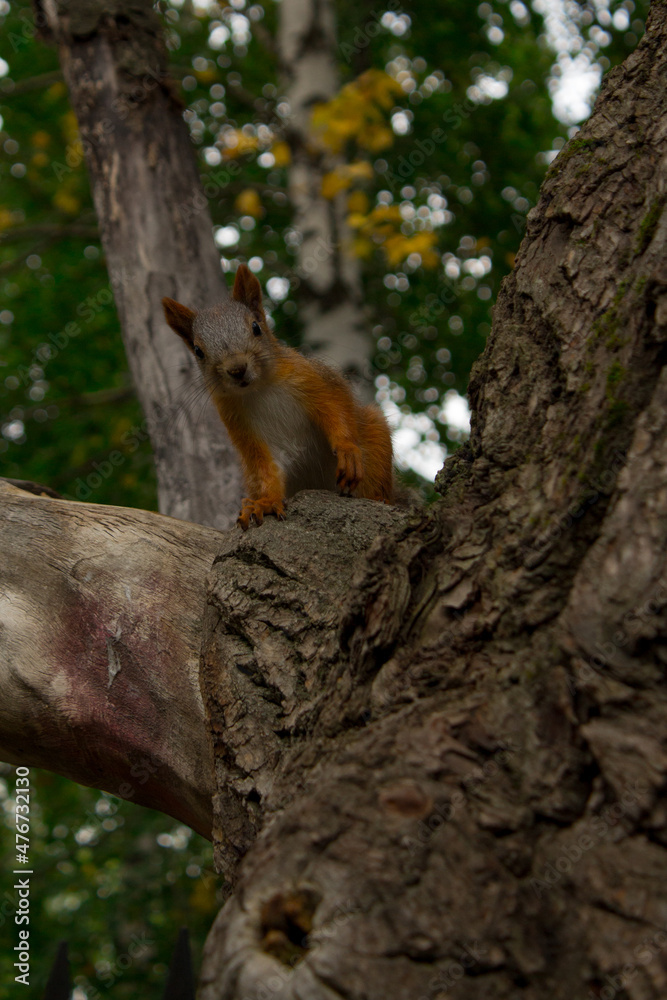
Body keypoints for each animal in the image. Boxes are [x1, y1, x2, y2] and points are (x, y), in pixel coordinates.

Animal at [162, 265, 394, 529]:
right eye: (198, 351)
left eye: (256, 327)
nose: (237, 369)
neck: (259, 388)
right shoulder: (241, 426)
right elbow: (265, 468)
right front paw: (266, 503)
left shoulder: (312, 379)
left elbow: (336, 406)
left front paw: (347, 449)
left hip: (375, 441)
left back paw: (380, 498)